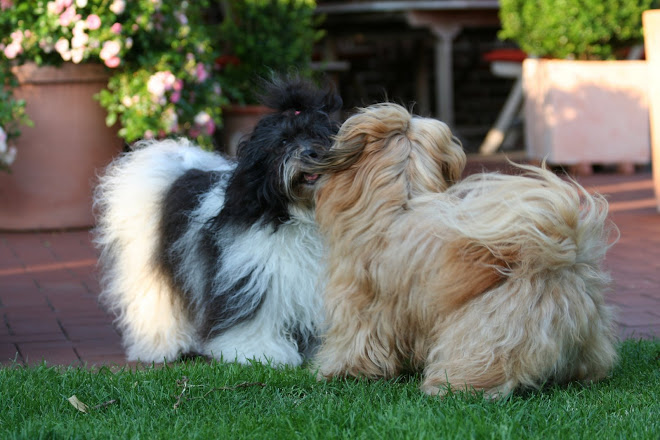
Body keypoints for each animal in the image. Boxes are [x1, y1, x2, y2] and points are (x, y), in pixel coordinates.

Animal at [94, 76, 340, 364]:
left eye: (321, 137)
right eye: (282, 142)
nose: (312, 153)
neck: (296, 216)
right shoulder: (249, 281)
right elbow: (254, 322)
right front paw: (259, 353)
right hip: (151, 269)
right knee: (156, 305)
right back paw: (164, 347)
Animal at [310, 104, 620, 398]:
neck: (404, 195)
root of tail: (556, 260)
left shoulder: (360, 303)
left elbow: (355, 342)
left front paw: (340, 371)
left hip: (488, 332)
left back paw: (448, 387)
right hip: (585, 334)